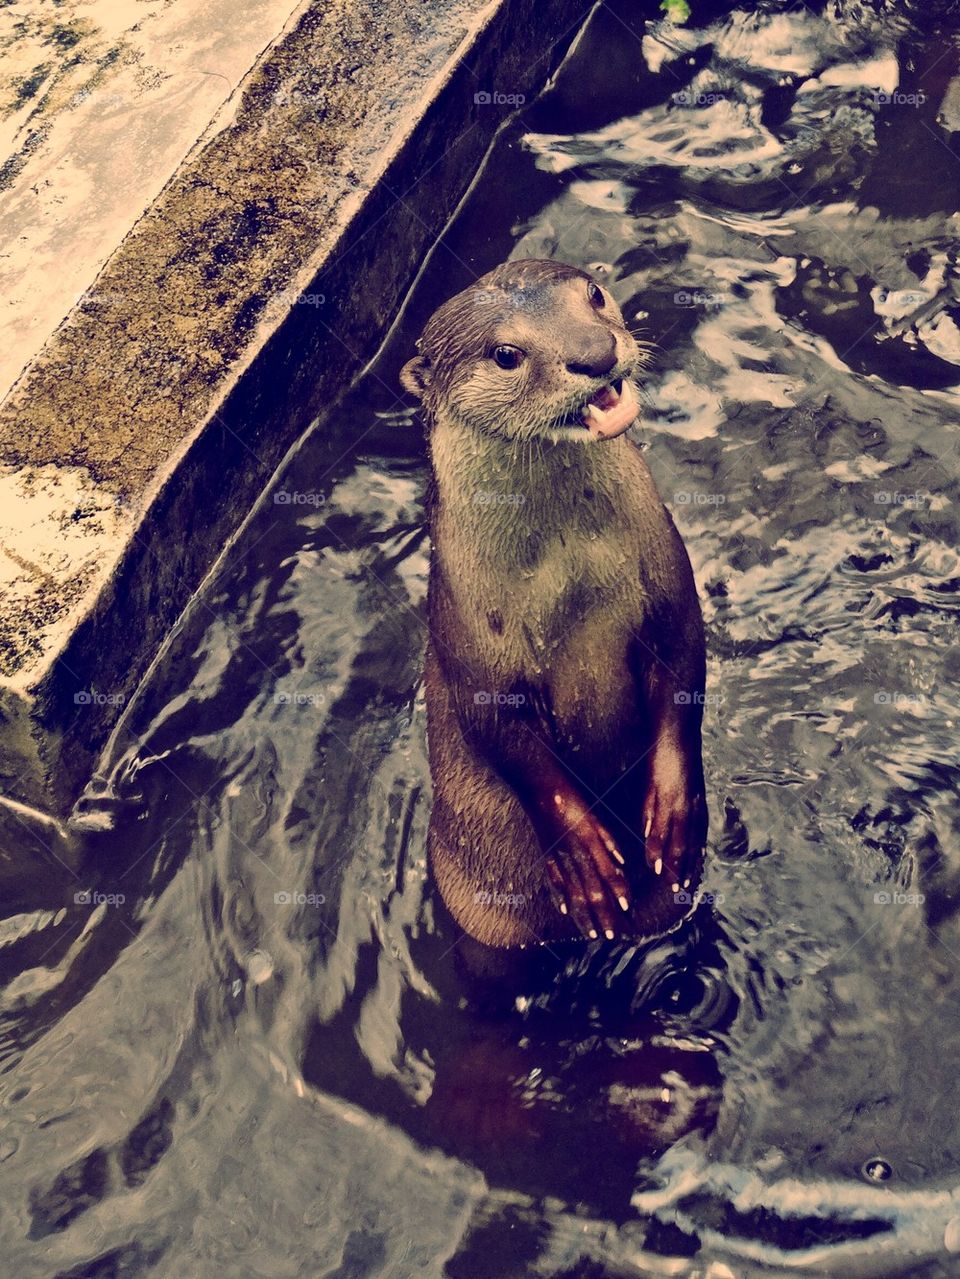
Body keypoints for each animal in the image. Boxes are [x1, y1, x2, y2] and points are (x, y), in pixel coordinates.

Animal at [401, 257, 710, 951]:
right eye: (506, 354)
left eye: (592, 295)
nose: (595, 353)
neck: (572, 586)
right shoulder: (466, 626)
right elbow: (499, 732)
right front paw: (585, 857)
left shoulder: (669, 577)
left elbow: (684, 662)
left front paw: (672, 812)